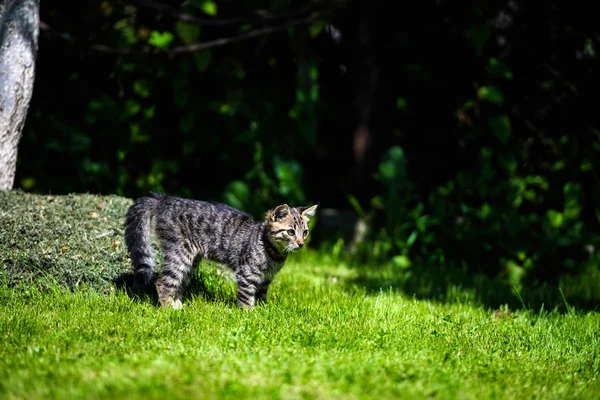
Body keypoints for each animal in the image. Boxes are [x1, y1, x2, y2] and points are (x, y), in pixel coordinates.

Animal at [123, 192, 318, 310]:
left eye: (305, 232)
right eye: (291, 232)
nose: (301, 243)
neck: (273, 253)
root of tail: (165, 199)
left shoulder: (265, 280)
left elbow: (261, 296)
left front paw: (264, 311)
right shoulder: (246, 274)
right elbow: (247, 297)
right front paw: (250, 315)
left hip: (191, 260)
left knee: (178, 283)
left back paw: (177, 306)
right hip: (179, 253)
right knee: (163, 282)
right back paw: (168, 309)